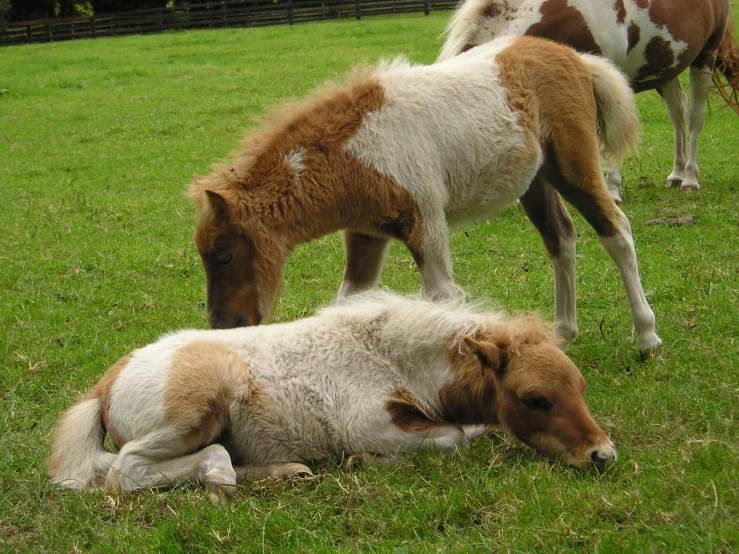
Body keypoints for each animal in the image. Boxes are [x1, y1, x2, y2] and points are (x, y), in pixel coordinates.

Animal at [47, 292, 620, 498]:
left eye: (580, 388)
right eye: (535, 399)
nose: (602, 455)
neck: (392, 357)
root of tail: (105, 383)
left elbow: (468, 427)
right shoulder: (370, 422)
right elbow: (453, 436)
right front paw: (364, 462)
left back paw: (285, 471)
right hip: (201, 399)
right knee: (125, 471)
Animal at [191, 34, 664, 356]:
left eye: (224, 256)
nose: (224, 324)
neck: (359, 153)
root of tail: (578, 58)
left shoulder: (427, 224)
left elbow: (443, 298)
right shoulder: (367, 234)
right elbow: (350, 301)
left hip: (573, 167)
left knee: (617, 232)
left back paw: (647, 336)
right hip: (534, 181)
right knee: (561, 238)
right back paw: (562, 334)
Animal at [440, 0, 739, 201]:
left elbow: (607, 131)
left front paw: (611, 188)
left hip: (706, 56)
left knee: (694, 117)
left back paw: (689, 178)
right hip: (667, 67)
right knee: (677, 112)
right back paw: (676, 174)